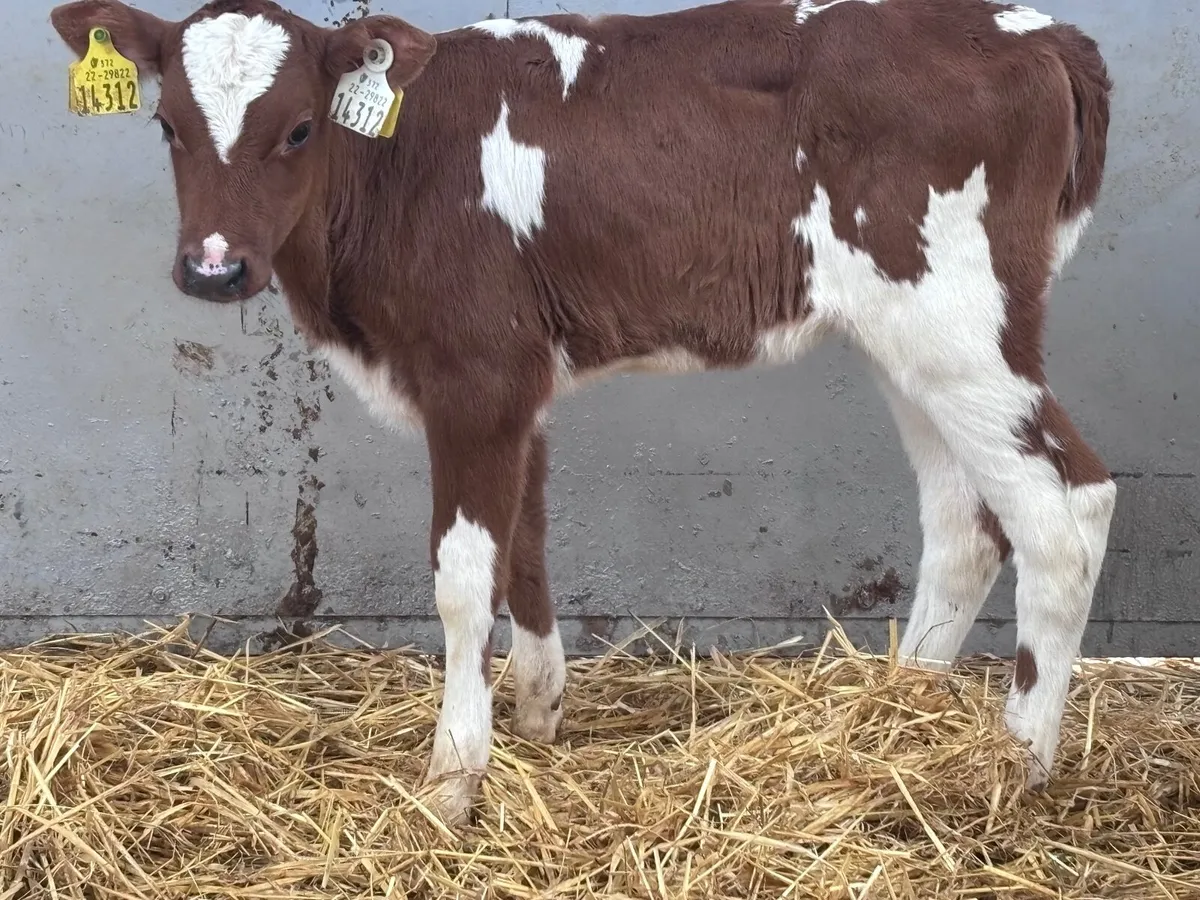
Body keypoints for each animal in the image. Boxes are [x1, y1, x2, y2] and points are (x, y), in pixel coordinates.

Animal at [50, 0, 1115, 824]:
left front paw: (452, 779)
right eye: (167, 126)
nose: (213, 267)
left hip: (960, 321)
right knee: (963, 521)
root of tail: (1037, 31)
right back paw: (901, 718)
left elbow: (461, 577)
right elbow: (524, 545)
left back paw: (1017, 767)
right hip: (909, 341)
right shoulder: (519, 383)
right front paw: (537, 721)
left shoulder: (475, 373)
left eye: (301, 128)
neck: (397, 169)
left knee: (1064, 510)